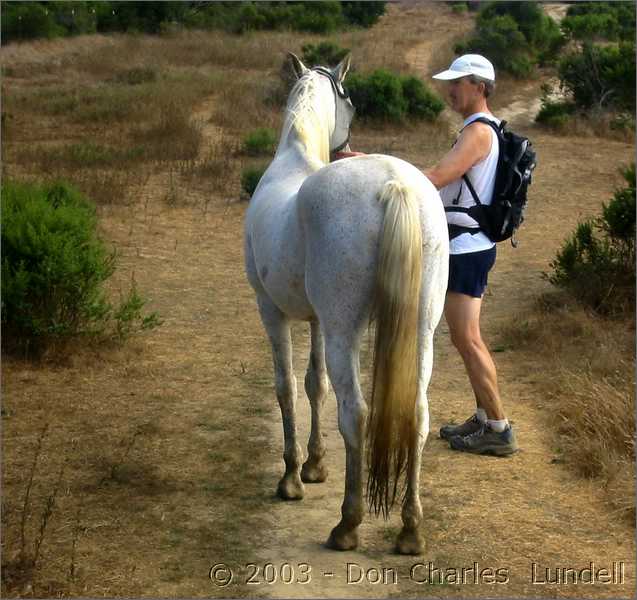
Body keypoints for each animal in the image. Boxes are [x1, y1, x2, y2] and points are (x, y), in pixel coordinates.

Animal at [243, 52, 448, 552]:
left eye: (347, 100)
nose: (347, 142)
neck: (293, 158)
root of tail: (395, 184)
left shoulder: (272, 312)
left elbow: (287, 387)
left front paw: (291, 479)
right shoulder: (316, 320)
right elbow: (313, 384)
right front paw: (314, 466)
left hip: (343, 332)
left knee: (354, 412)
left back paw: (347, 526)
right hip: (421, 330)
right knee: (418, 414)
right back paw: (411, 530)